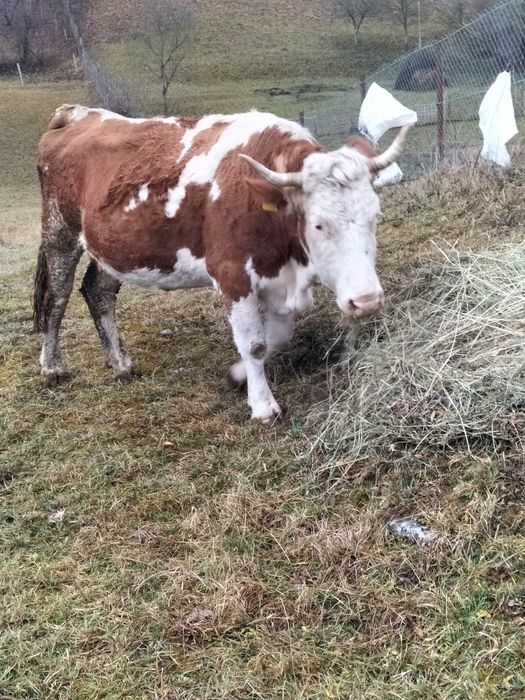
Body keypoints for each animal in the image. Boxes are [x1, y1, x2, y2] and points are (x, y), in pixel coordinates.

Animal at [33, 105, 409, 422]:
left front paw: (237, 375)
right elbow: (254, 343)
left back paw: (121, 362)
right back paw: (52, 367)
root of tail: (76, 113)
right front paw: (263, 406)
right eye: (318, 225)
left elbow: (276, 337)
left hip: (113, 249)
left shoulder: (277, 276)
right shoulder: (232, 275)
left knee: (98, 292)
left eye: (375, 216)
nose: (366, 300)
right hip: (59, 232)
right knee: (57, 299)